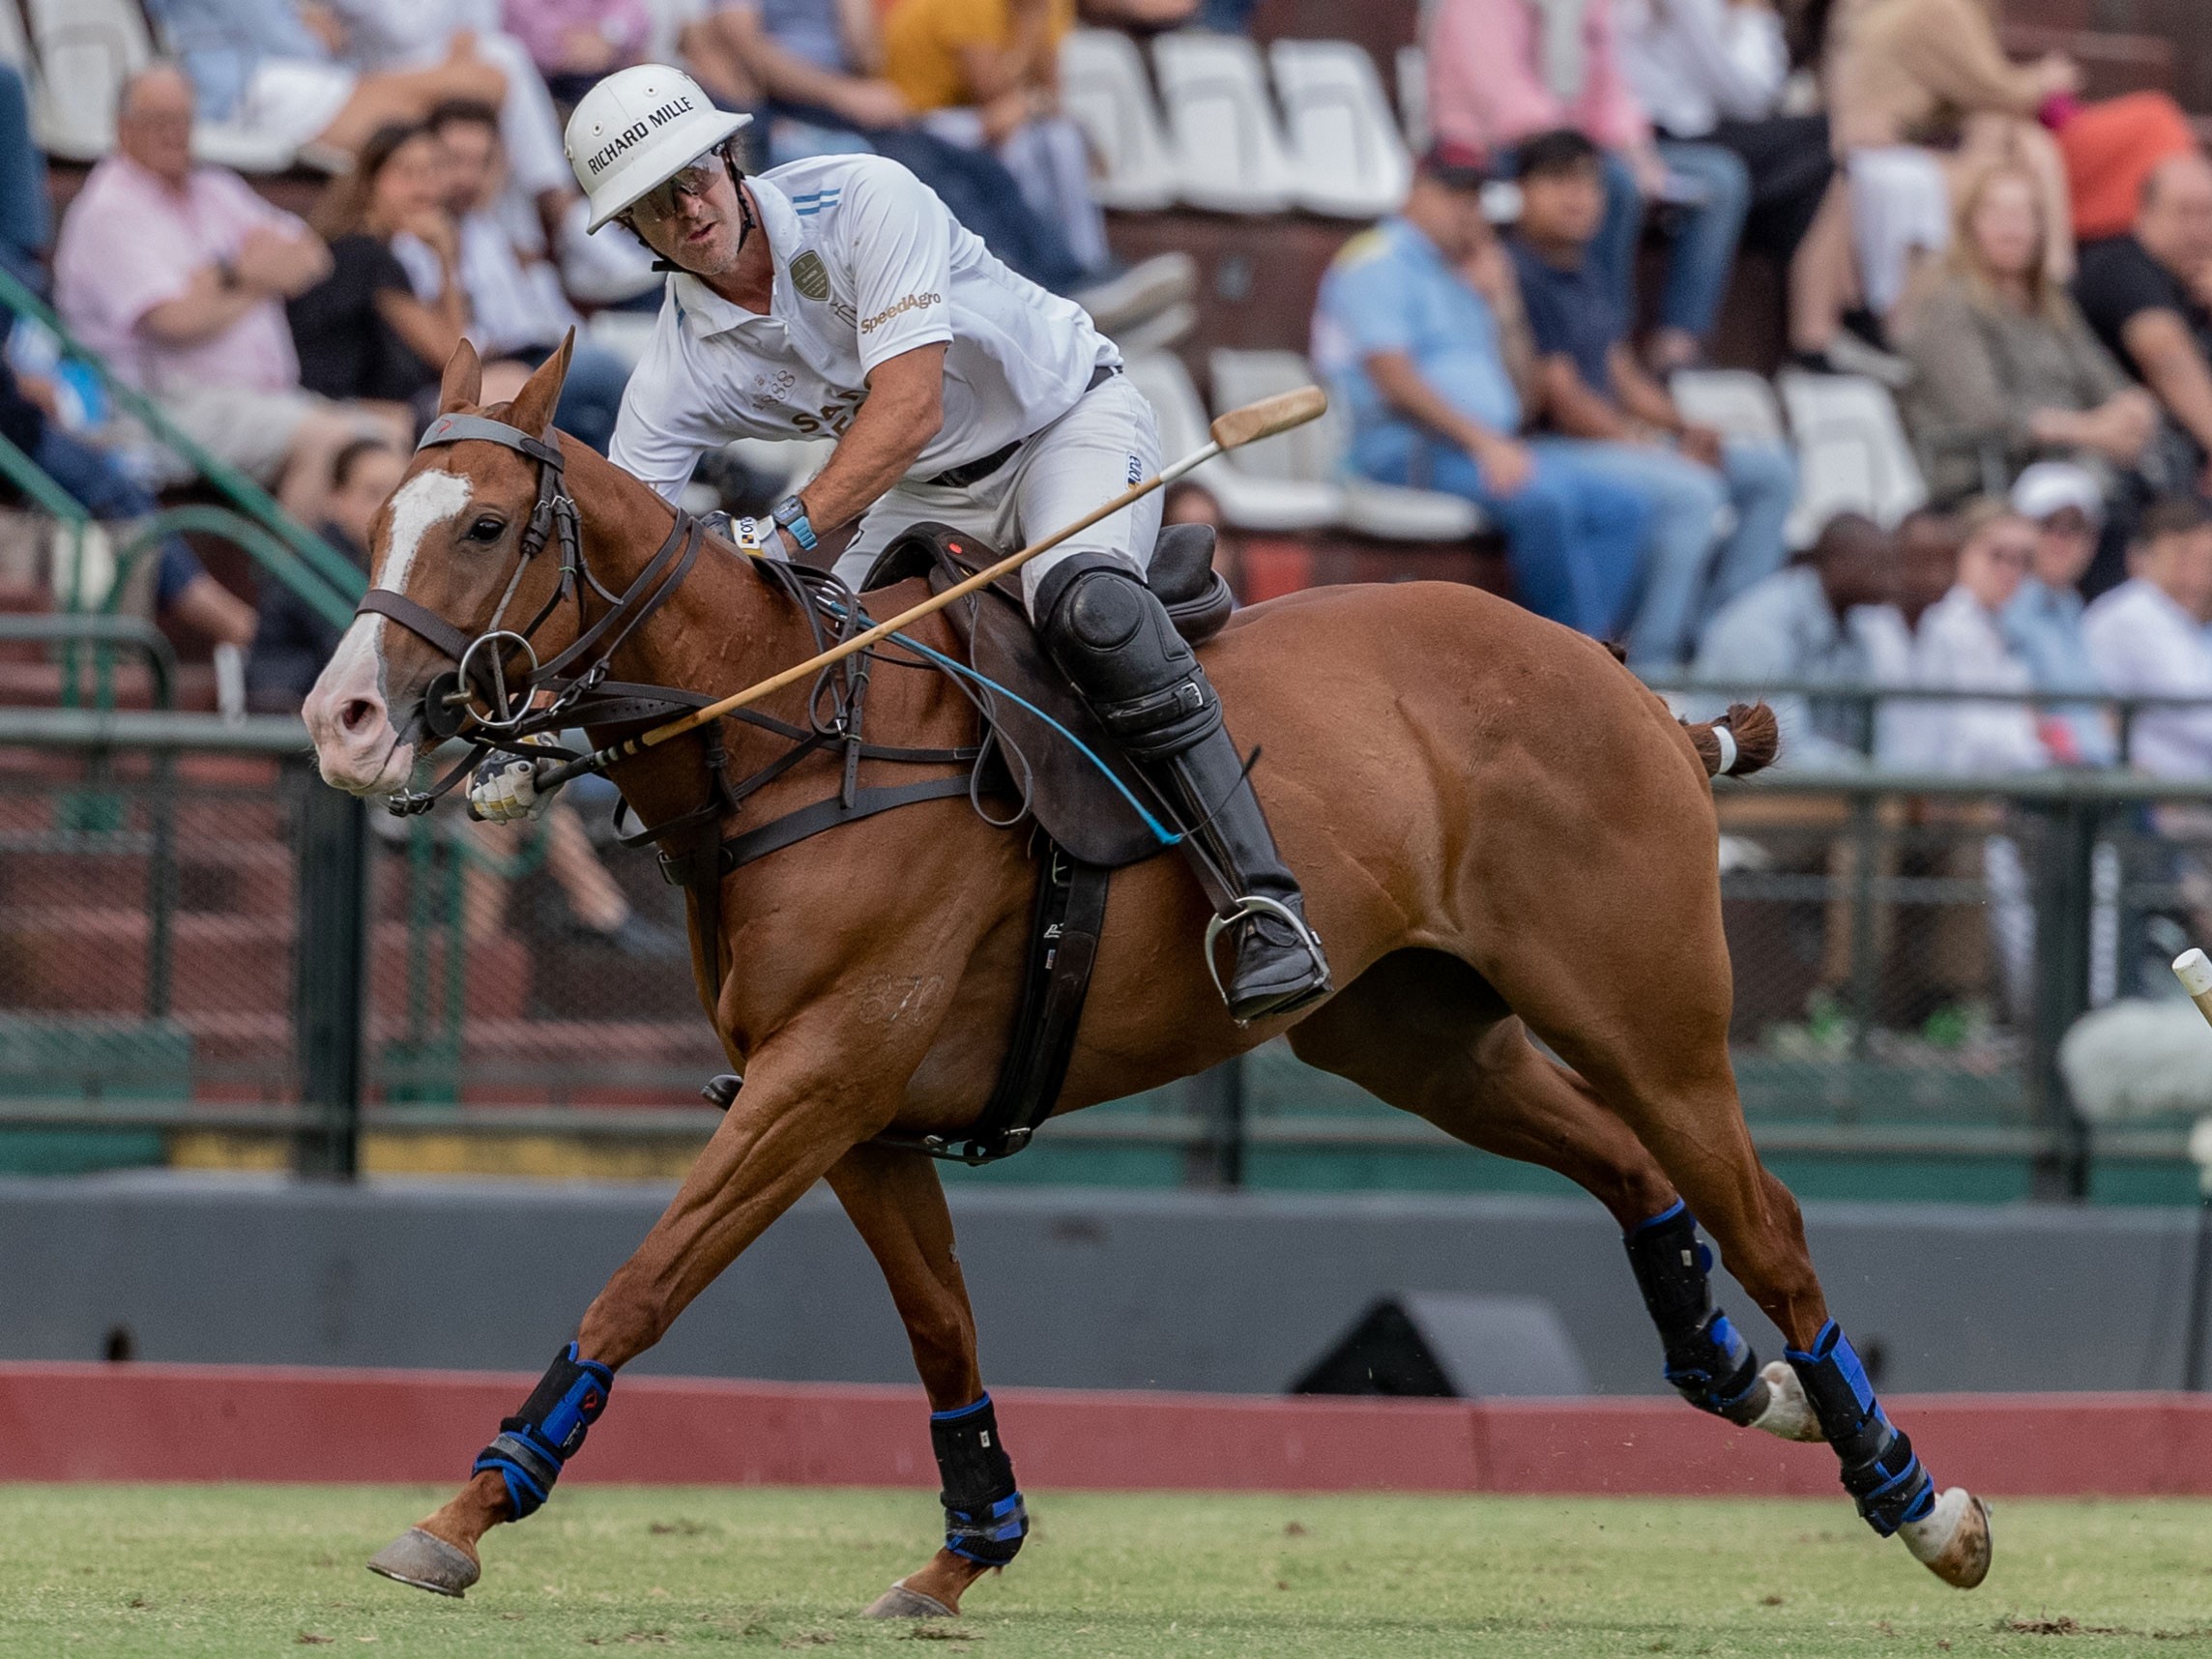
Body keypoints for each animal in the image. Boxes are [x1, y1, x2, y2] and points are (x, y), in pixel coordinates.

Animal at [307, 344, 1991, 1618]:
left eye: (479, 529)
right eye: (380, 509)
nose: (340, 721)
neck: (791, 736)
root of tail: (1644, 694)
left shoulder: (821, 1077)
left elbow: (645, 1282)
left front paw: (463, 1513)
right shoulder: (863, 1115)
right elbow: (941, 1326)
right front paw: (964, 1555)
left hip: (1650, 1014)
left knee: (1768, 1223)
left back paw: (1916, 1500)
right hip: (1411, 1037)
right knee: (1631, 1170)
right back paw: (1741, 1380)